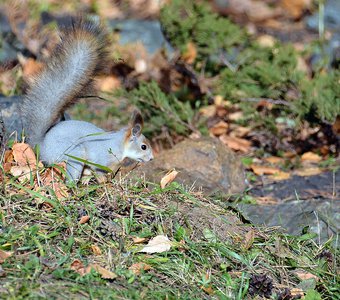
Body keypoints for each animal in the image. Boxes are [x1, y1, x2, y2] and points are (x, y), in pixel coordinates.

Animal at [20, 19, 153, 183]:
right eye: (143, 147)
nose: (151, 159)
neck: (119, 145)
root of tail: (41, 146)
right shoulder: (101, 158)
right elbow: (100, 172)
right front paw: (104, 183)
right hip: (74, 155)